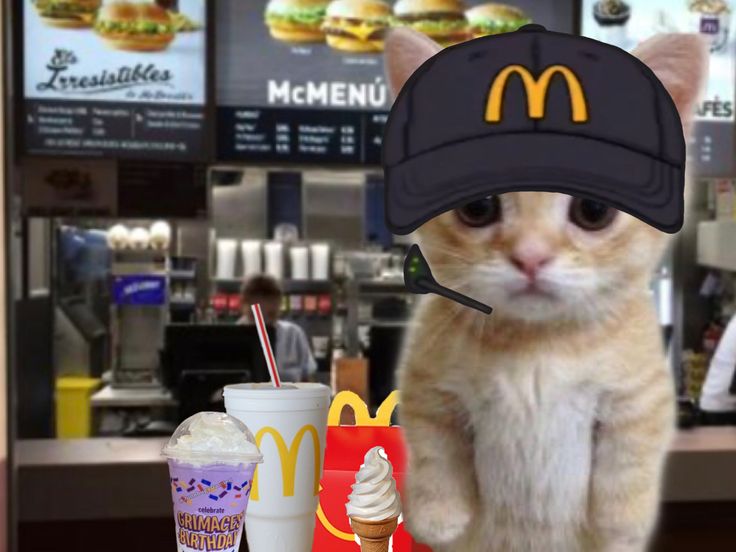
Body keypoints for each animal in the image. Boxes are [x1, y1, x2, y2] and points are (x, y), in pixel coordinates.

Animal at [388, 30, 712, 552]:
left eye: (593, 210)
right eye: (478, 207)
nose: (531, 256)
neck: (535, 344)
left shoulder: (640, 393)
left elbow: (630, 456)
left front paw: (622, 521)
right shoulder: (428, 386)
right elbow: (435, 447)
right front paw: (439, 514)